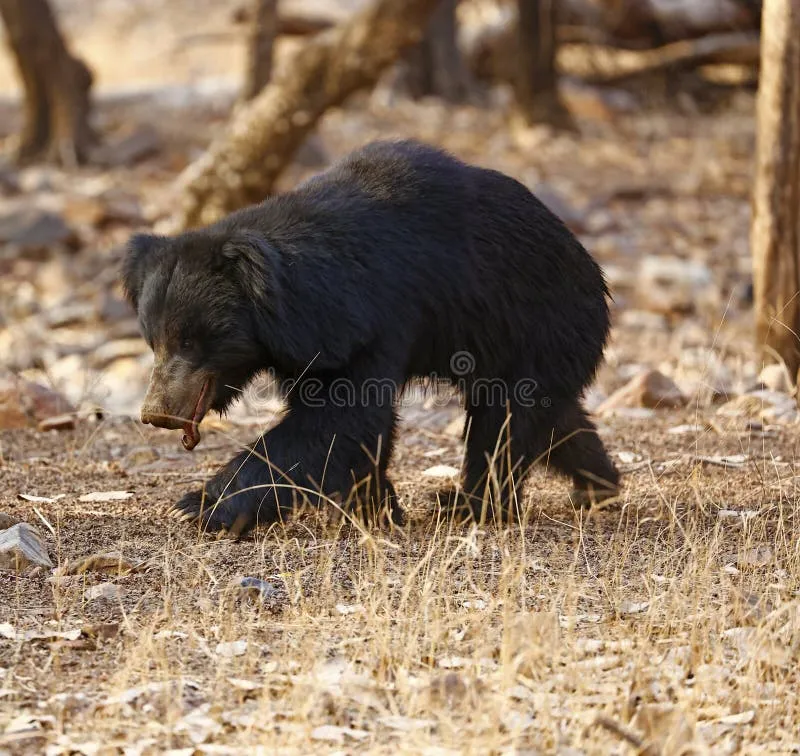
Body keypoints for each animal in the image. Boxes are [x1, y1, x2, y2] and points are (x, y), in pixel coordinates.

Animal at [122, 139, 620, 536]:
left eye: (192, 340)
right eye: (154, 340)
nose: (157, 413)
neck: (298, 302)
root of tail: (592, 268)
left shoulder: (373, 321)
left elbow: (341, 418)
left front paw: (199, 506)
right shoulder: (313, 345)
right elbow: (349, 428)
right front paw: (375, 507)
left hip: (539, 324)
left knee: (507, 420)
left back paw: (469, 505)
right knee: (551, 418)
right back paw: (598, 486)